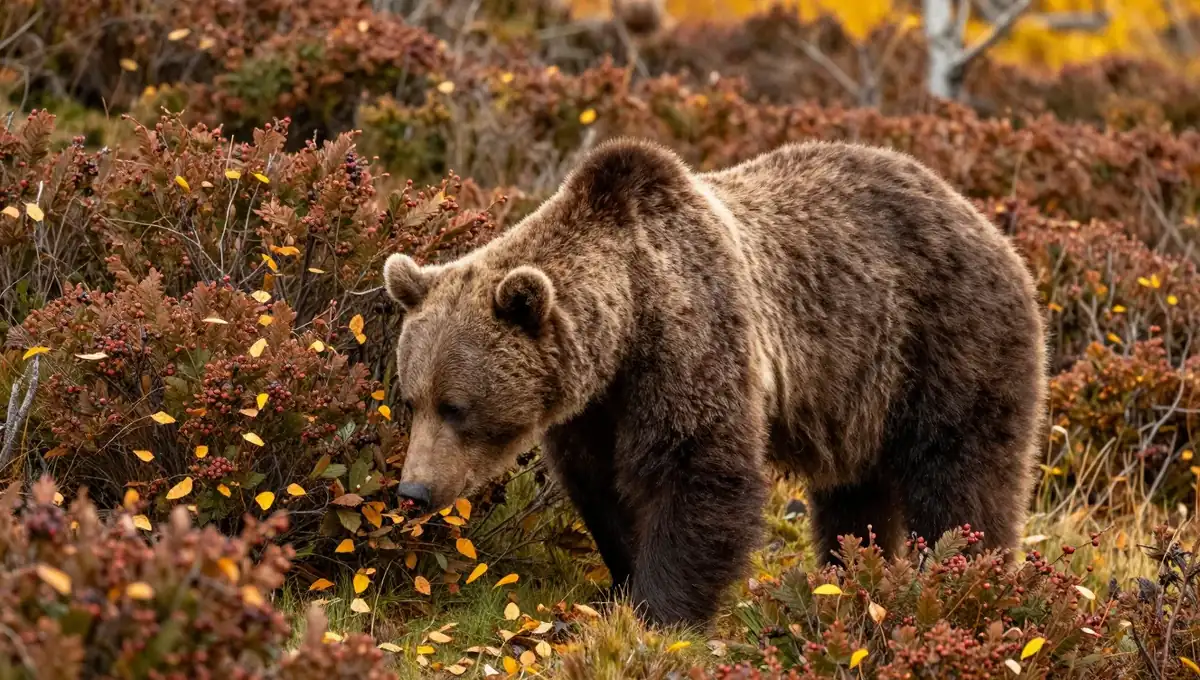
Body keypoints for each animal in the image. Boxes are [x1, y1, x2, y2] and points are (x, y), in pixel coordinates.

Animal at [382, 137, 1047, 627]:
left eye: (457, 406)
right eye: (412, 400)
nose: (413, 490)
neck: (626, 322)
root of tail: (991, 227)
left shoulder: (691, 338)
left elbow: (699, 470)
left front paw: (659, 612)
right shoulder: (593, 407)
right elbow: (601, 488)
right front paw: (620, 584)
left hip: (949, 344)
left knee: (962, 478)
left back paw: (970, 577)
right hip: (859, 392)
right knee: (855, 496)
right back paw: (852, 575)